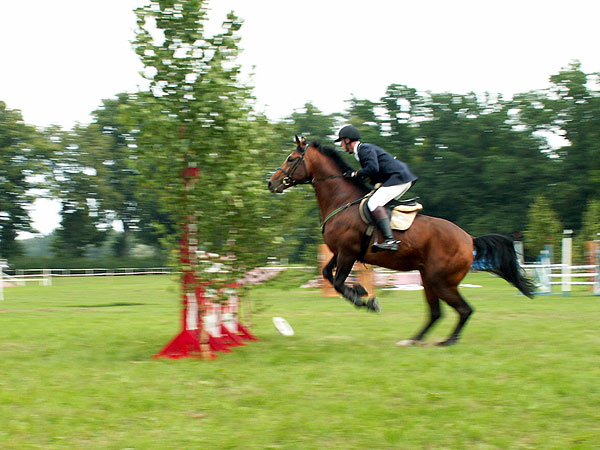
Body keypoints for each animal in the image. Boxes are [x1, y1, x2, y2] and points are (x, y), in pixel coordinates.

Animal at [268, 135, 536, 346]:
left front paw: (365, 299)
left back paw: (448, 341)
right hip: (428, 278)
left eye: (291, 159)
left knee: (463, 309)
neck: (340, 200)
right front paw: (361, 291)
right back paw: (414, 340)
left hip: (441, 281)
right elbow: (327, 274)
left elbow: (339, 283)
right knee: (436, 313)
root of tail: (469, 239)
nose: (271, 183)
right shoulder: (341, 253)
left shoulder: (348, 253)